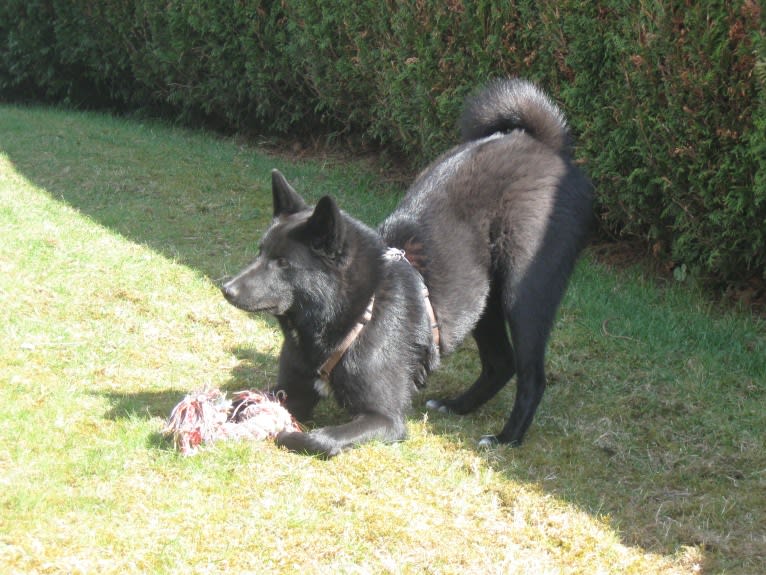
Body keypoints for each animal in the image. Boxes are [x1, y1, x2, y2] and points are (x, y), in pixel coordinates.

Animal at [222, 79, 592, 456]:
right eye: (260, 252)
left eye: (283, 263)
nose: (226, 289)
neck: (360, 312)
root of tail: (543, 145)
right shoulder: (293, 389)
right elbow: (244, 400)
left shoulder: (384, 419)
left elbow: (320, 438)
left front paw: (285, 434)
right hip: (483, 303)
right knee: (500, 363)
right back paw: (457, 406)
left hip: (523, 297)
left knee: (532, 376)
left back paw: (507, 438)